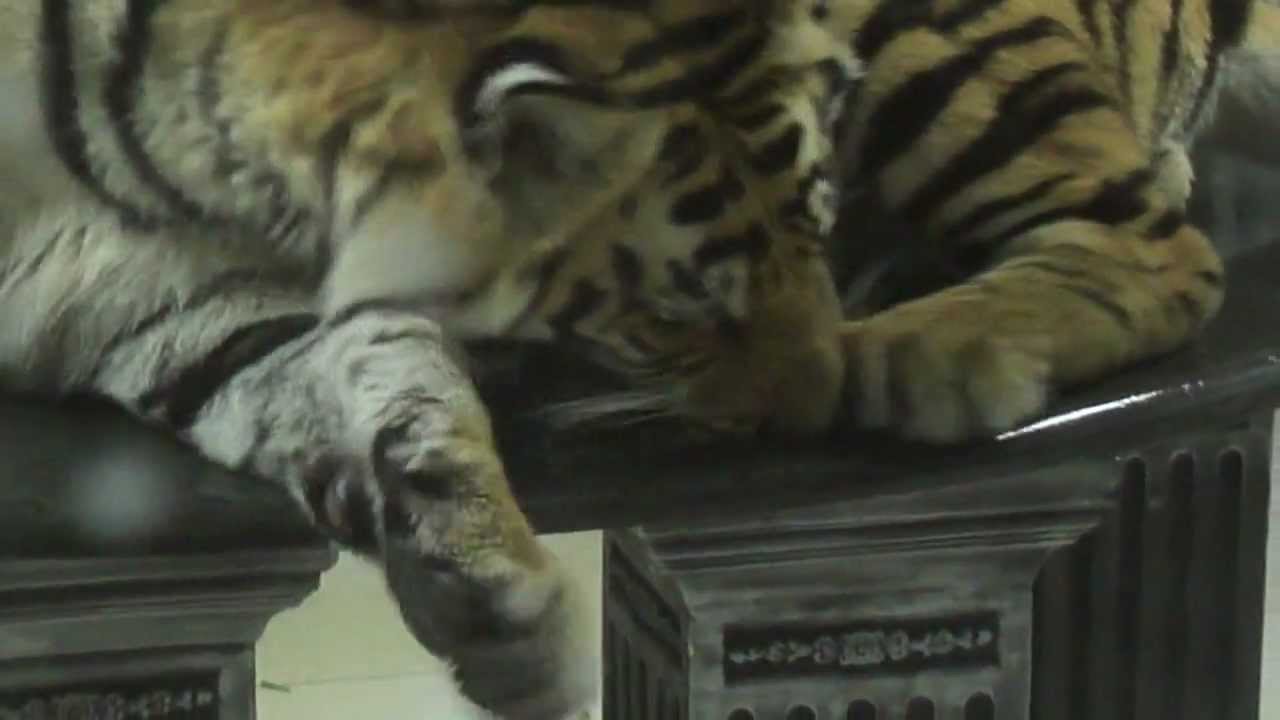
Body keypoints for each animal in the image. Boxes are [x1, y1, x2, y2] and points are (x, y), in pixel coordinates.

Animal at [0, 0, 1275, 718]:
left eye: (810, 222)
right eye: (679, 305)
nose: (802, 415)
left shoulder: (173, 272)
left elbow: (378, 363)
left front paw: (505, 603)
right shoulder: (160, 291)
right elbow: (349, 375)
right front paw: (486, 595)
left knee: (1156, 244)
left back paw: (924, 350)